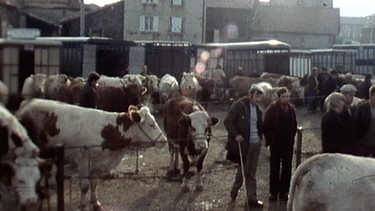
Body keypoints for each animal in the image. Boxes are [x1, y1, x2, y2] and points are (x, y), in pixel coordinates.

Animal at [16, 99, 166, 211]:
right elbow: (85, 187)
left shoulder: (97, 164)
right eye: (151, 124)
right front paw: (82, 205)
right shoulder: (83, 161)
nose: (164, 140)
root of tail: (27, 102)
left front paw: (95, 203)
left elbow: (94, 184)